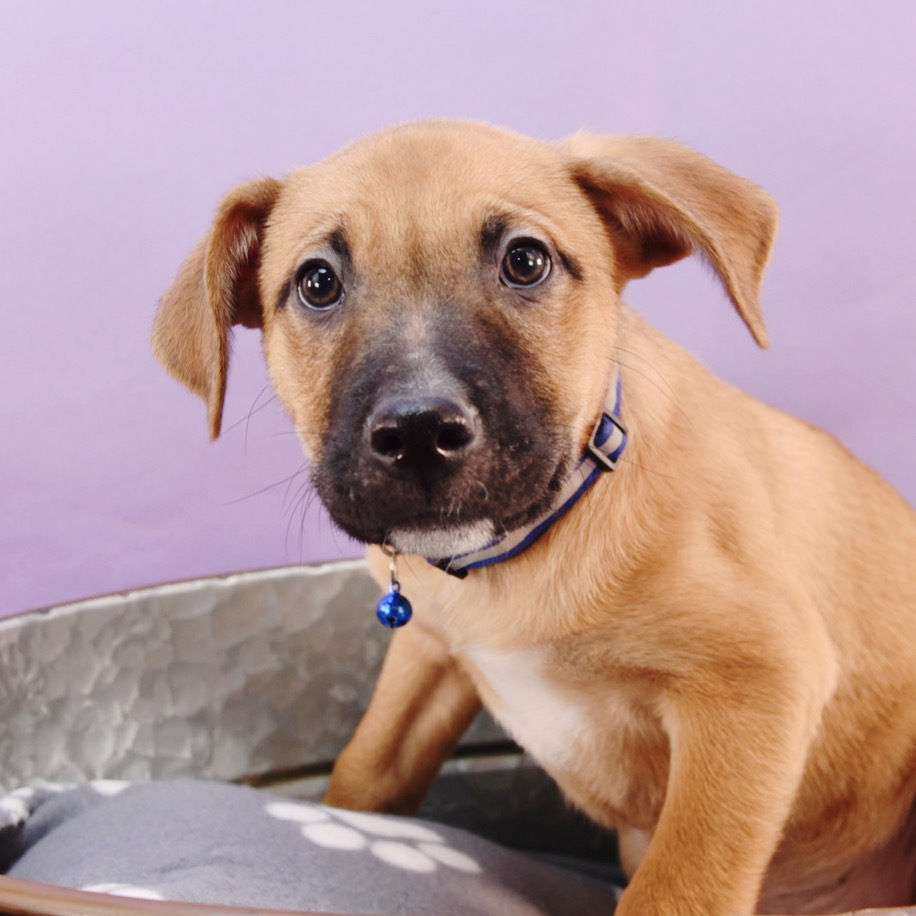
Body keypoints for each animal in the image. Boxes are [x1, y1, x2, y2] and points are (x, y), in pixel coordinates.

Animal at [154, 118, 916, 912]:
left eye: (526, 261)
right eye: (317, 283)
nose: (419, 432)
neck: (520, 555)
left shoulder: (756, 679)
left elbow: (677, 884)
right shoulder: (429, 652)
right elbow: (368, 766)